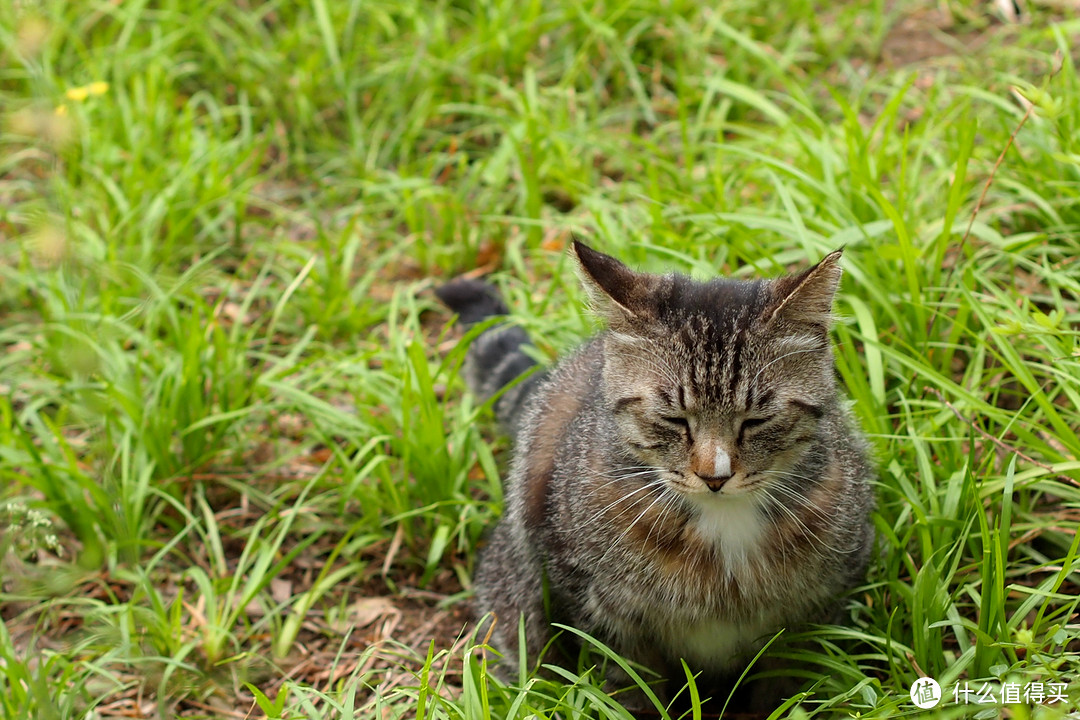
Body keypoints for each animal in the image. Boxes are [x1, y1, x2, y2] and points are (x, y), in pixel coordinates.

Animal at [434, 240, 872, 708]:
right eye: (673, 419)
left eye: (756, 420)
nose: (714, 476)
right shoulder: (595, 607)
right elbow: (629, 685)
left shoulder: (817, 609)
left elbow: (785, 682)